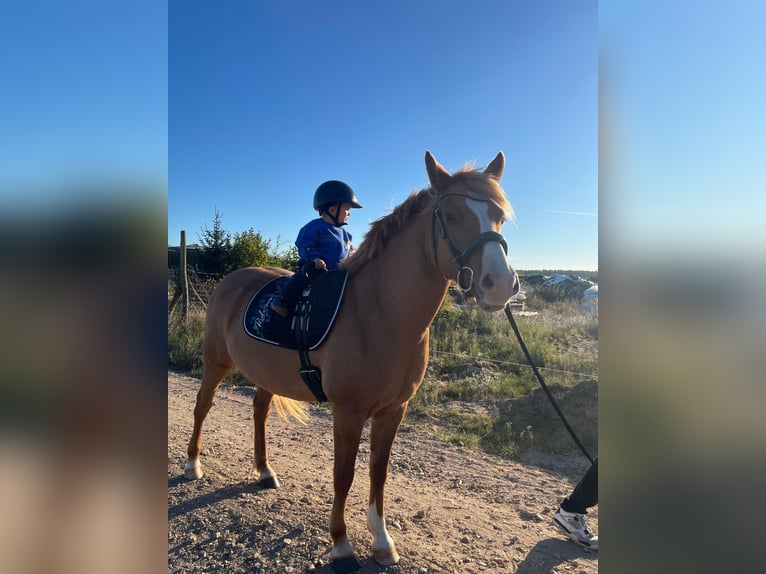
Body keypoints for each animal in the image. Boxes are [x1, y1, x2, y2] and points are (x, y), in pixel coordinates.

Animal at [184, 150, 520, 567]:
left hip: (265, 373)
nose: (501, 285)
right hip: (216, 362)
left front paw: (382, 540)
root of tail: (231, 280)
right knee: (202, 406)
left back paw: (263, 471)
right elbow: (343, 475)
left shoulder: (393, 411)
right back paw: (192, 464)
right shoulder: (348, 411)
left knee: (260, 410)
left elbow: (379, 472)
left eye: (499, 216)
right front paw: (341, 543)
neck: (379, 312)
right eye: (453, 215)